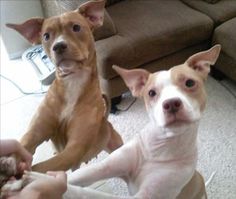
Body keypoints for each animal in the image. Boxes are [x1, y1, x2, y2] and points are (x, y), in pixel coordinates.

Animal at [6, 0, 122, 173]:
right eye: (46, 36)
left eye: (76, 27)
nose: (58, 46)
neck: (73, 82)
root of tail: (105, 121)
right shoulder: (34, 134)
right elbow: (21, 146)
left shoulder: (73, 149)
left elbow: (40, 168)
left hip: (116, 144)